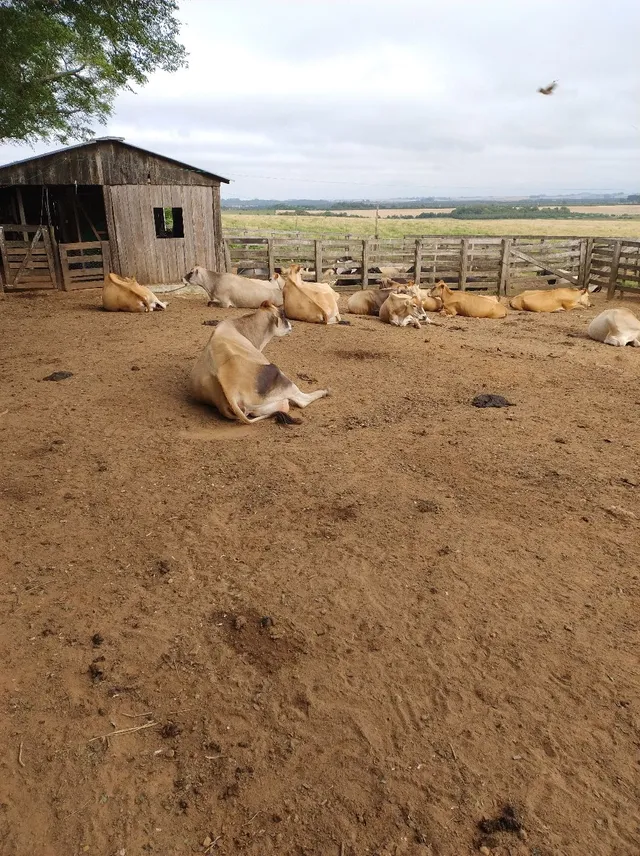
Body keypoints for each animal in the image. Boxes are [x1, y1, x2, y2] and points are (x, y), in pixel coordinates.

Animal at [190, 301, 330, 424]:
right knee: (302, 400)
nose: (291, 326)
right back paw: (325, 391)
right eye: (282, 315)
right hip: (278, 374)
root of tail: (232, 392)